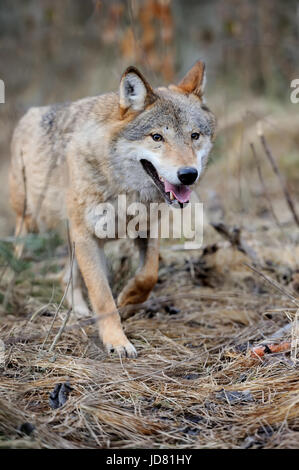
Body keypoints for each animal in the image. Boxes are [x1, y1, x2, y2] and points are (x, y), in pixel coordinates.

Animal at [9, 60, 216, 358]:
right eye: (157, 137)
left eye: (194, 136)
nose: (188, 175)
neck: (125, 191)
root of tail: (28, 115)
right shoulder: (88, 237)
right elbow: (103, 297)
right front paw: (117, 341)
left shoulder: (147, 229)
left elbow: (148, 275)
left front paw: (128, 299)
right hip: (31, 222)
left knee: (65, 276)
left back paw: (80, 311)